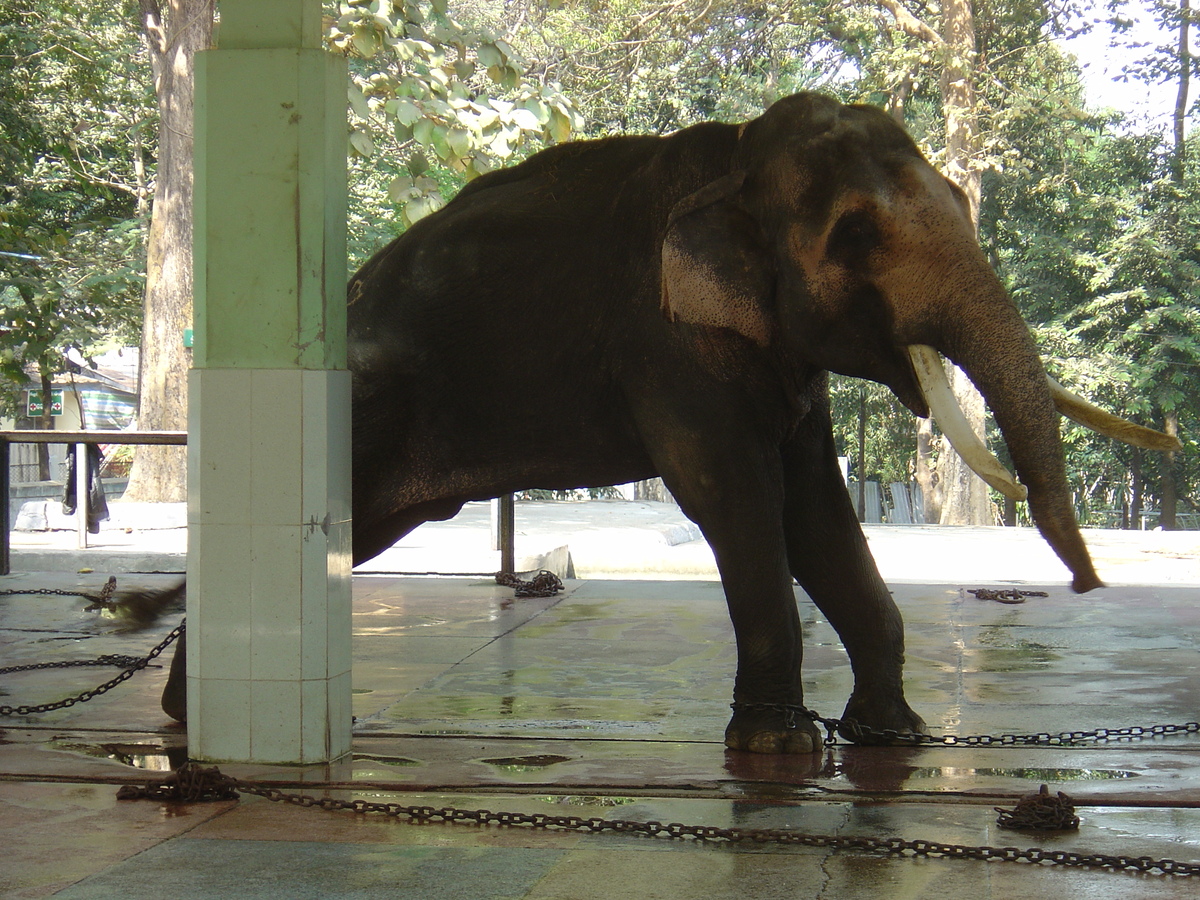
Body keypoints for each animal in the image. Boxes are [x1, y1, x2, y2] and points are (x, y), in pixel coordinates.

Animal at [162, 91, 1180, 753]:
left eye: (965, 204)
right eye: (855, 236)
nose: (1087, 586)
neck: (733, 157)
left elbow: (817, 509)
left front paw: (893, 737)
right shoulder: (666, 341)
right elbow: (738, 498)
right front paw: (775, 749)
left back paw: (187, 712)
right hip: (368, 409)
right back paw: (202, 717)